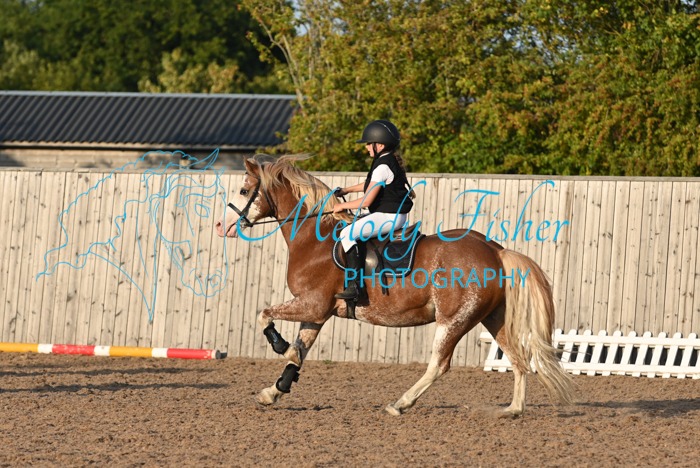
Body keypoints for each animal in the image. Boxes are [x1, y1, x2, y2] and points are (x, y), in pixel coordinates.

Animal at [215, 155, 575, 417]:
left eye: (244, 192)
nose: (222, 225)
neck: (313, 239)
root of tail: (496, 251)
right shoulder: (315, 312)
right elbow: (299, 353)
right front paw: (273, 391)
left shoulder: (312, 305)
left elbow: (264, 316)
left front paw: (281, 346)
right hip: (493, 318)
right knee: (519, 359)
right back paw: (512, 410)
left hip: (453, 320)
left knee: (439, 365)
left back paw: (400, 404)